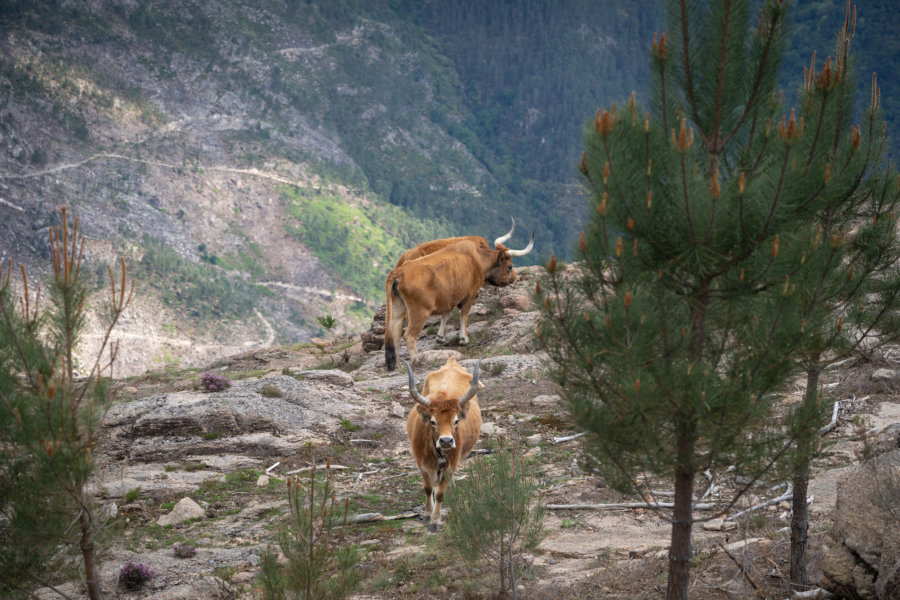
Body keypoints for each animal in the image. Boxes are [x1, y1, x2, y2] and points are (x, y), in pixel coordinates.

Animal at [382, 236, 536, 370]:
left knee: (395, 333)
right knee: (408, 336)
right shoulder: (471, 293)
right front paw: (463, 338)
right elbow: (464, 316)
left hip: (398, 308)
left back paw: (398, 364)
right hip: (419, 312)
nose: (515, 279)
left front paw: (441, 337)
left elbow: (446, 314)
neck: (477, 258)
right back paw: (416, 361)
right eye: (509, 266)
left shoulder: (451, 296)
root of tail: (399, 272)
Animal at [402, 356, 482, 528]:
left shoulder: (448, 466)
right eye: (433, 421)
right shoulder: (421, 464)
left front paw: (436, 519)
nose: (446, 440)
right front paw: (427, 513)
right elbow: (427, 488)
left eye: (456, 420)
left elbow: (439, 494)